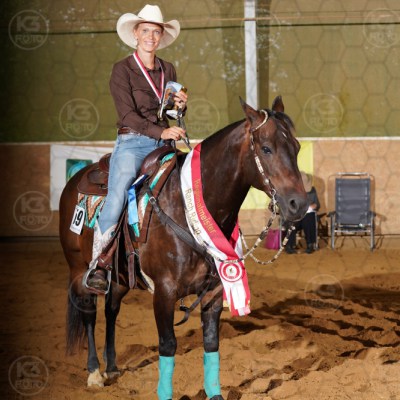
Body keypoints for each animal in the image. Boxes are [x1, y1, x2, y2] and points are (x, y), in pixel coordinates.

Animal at [59, 96, 308, 399]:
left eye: (296, 148)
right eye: (267, 148)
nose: (299, 204)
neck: (184, 207)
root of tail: (75, 179)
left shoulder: (213, 292)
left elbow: (211, 344)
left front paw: (215, 393)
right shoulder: (164, 293)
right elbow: (168, 346)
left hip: (119, 278)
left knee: (111, 309)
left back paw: (113, 367)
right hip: (79, 269)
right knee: (89, 313)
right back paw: (95, 372)